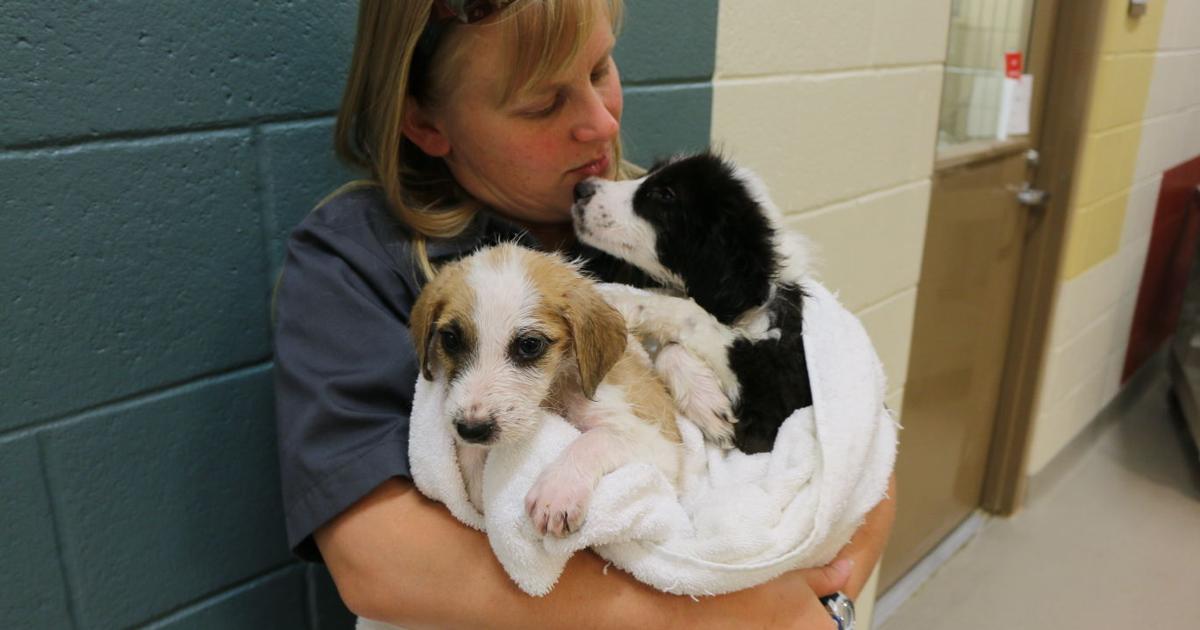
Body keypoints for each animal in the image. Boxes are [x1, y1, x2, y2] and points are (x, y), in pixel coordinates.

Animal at [408, 243, 681, 537]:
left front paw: (557, 491)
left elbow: (595, 439)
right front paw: (476, 478)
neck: (554, 392)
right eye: (450, 340)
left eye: (529, 345)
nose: (471, 429)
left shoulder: (661, 445)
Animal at [566, 152, 811, 451]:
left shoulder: (770, 400)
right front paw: (706, 402)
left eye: (665, 194)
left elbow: (693, 316)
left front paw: (621, 299)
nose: (580, 189)